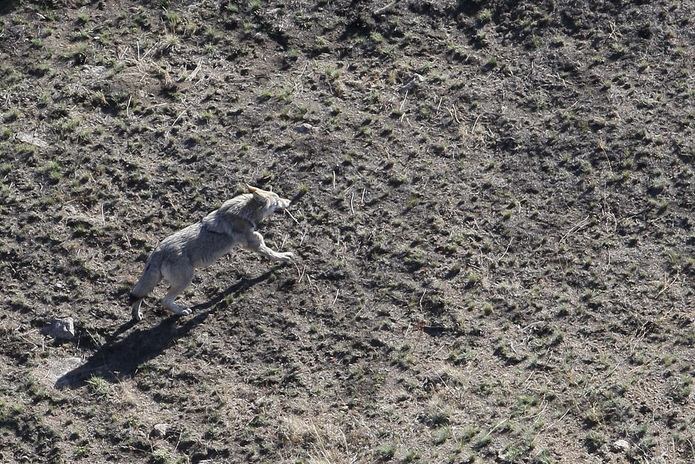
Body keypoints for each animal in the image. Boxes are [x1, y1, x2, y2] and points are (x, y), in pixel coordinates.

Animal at [130, 183, 294, 320]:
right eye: (277, 200)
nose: (289, 201)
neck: (244, 212)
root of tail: (157, 252)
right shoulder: (253, 243)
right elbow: (272, 253)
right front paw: (285, 257)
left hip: (158, 280)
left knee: (138, 294)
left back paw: (136, 315)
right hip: (186, 279)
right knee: (164, 300)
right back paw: (182, 311)